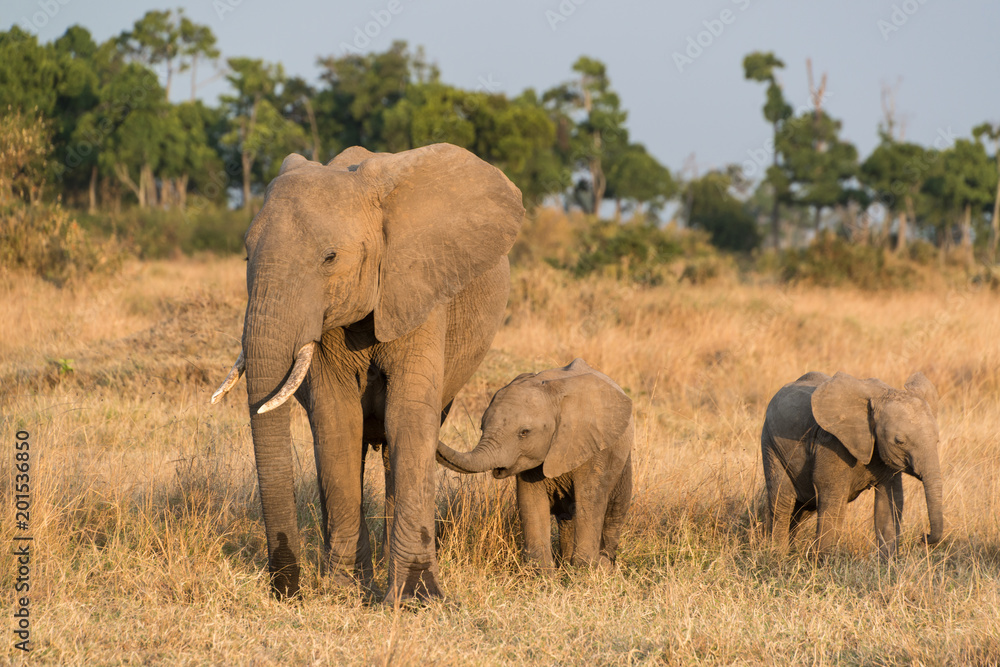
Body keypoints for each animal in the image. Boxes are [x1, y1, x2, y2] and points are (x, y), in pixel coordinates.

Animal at [211, 144, 524, 604]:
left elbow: (407, 417)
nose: (287, 590)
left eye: (330, 258)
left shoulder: (417, 287)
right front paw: (345, 591)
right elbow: (336, 420)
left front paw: (414, 598)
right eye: (247, 255)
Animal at [438, 360, 632, 568]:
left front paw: (585, 569)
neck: (553, 393)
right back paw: (566, 563)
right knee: (567, 516)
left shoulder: (593, 447)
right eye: (482, 427)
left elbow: (588, 500)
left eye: (524, 433)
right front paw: (540, 572)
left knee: (615, 509)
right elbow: (531, 501)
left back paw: (605, 564)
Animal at [760, 370, 940, 560]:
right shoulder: (832, 443)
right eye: (899, 441)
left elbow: (890, 500)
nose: (924, 536)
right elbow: (832, 497)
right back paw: (778, 555)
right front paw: (825, 562)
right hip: (771, 445)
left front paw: (889, 563)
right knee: (783, 501)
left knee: (803, 508)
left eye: (937, 440)